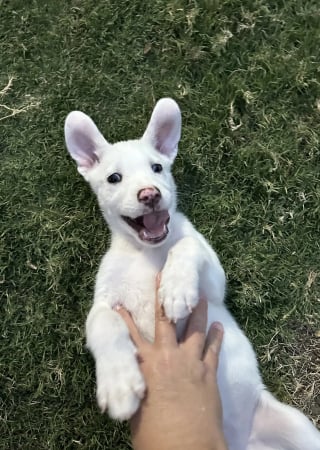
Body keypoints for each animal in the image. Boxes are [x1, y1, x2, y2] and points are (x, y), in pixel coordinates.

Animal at [65, 98, 320, 450]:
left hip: (297, 427)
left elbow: (186, 245)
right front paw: (119, 384)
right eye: (114, 177)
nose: (149, 194)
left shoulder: (213, 284)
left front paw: (175, 289)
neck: (147, 252)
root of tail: (241, 442)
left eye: (157, 168)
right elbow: (104, 324)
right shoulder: (104, 301)